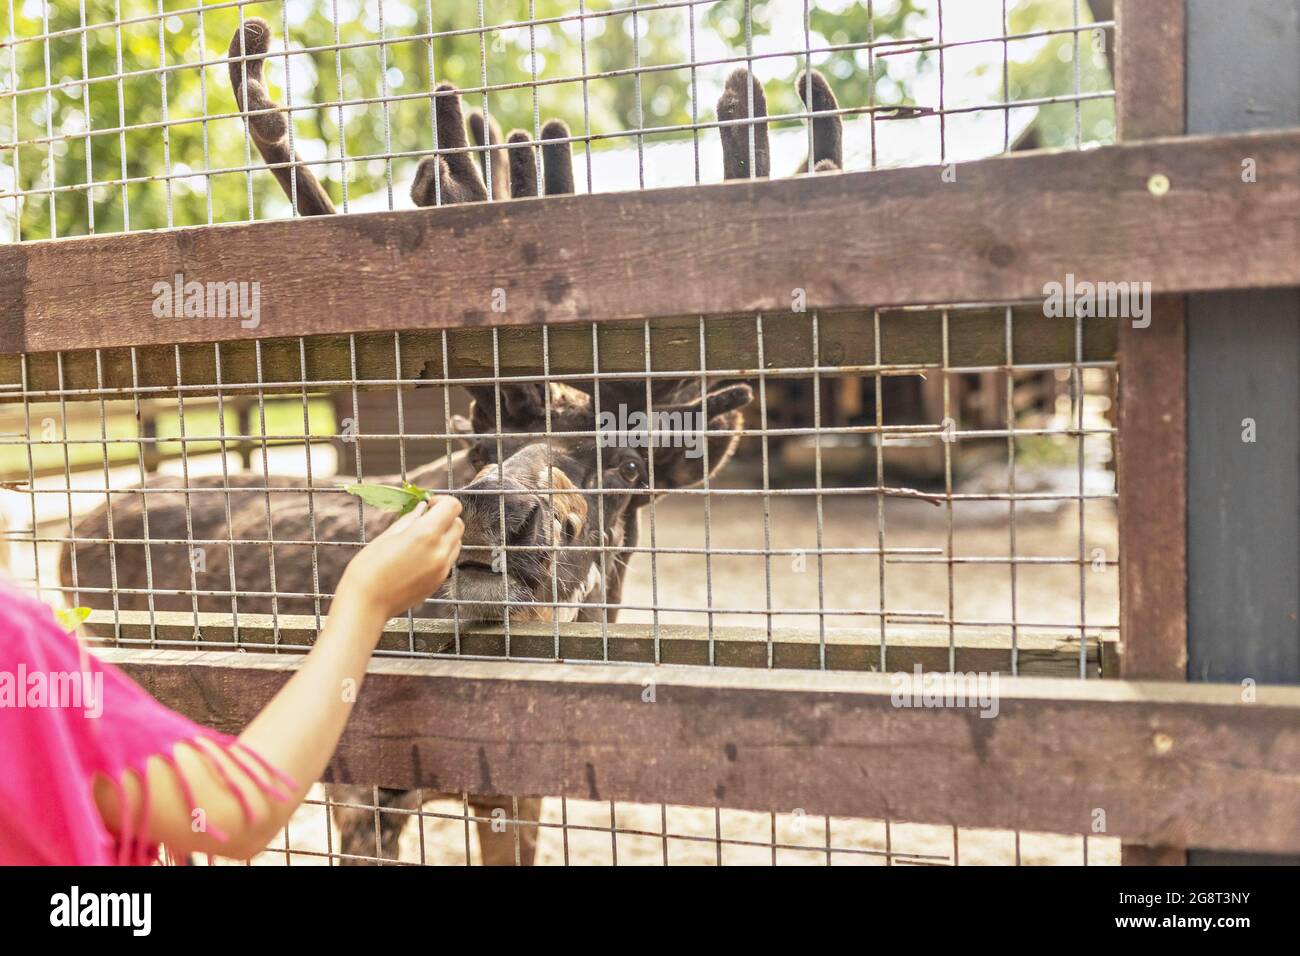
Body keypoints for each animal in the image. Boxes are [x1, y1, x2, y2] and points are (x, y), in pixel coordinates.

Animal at [63, 22, 852, 863]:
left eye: (627, 463)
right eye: (479, 440)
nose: (494, 513)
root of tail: (72, 532)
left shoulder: (521, 790)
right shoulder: (361, 790)